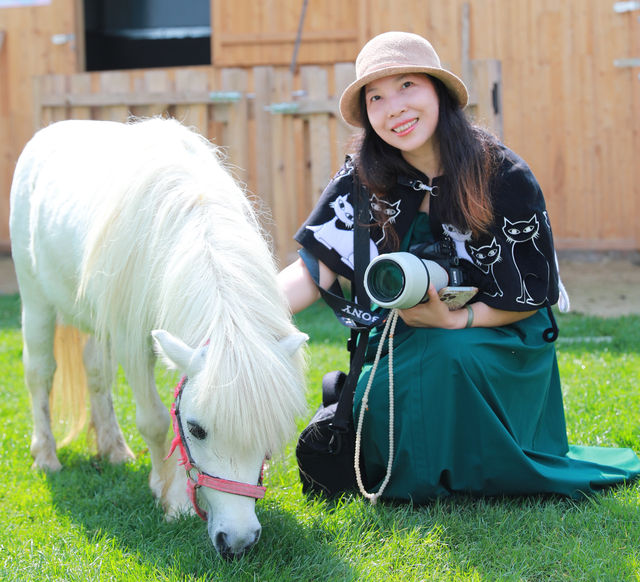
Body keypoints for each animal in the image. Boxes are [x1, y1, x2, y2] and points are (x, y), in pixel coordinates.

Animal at [8, 118, 308, 560]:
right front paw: (172, 498)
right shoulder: (131, 341)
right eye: (196, 429)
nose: (237, 542)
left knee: (95, 373)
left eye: (271, 434)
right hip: (36, 301)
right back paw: (45, 456)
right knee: (39, 373)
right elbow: (152, 420)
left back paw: (114, 449)